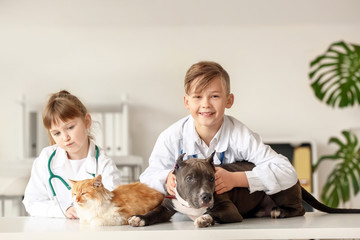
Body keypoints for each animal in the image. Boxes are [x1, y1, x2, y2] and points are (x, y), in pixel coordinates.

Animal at [129, 153, 360, 228]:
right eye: (189, 178)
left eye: (212, 178)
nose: (206, 196)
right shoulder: (168, 207)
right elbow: (153, 212)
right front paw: (139, 218)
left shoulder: (229, 210)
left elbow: (213, 212)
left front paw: (204, 219)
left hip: (276, 187)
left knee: (299, 209)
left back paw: (279, 212)